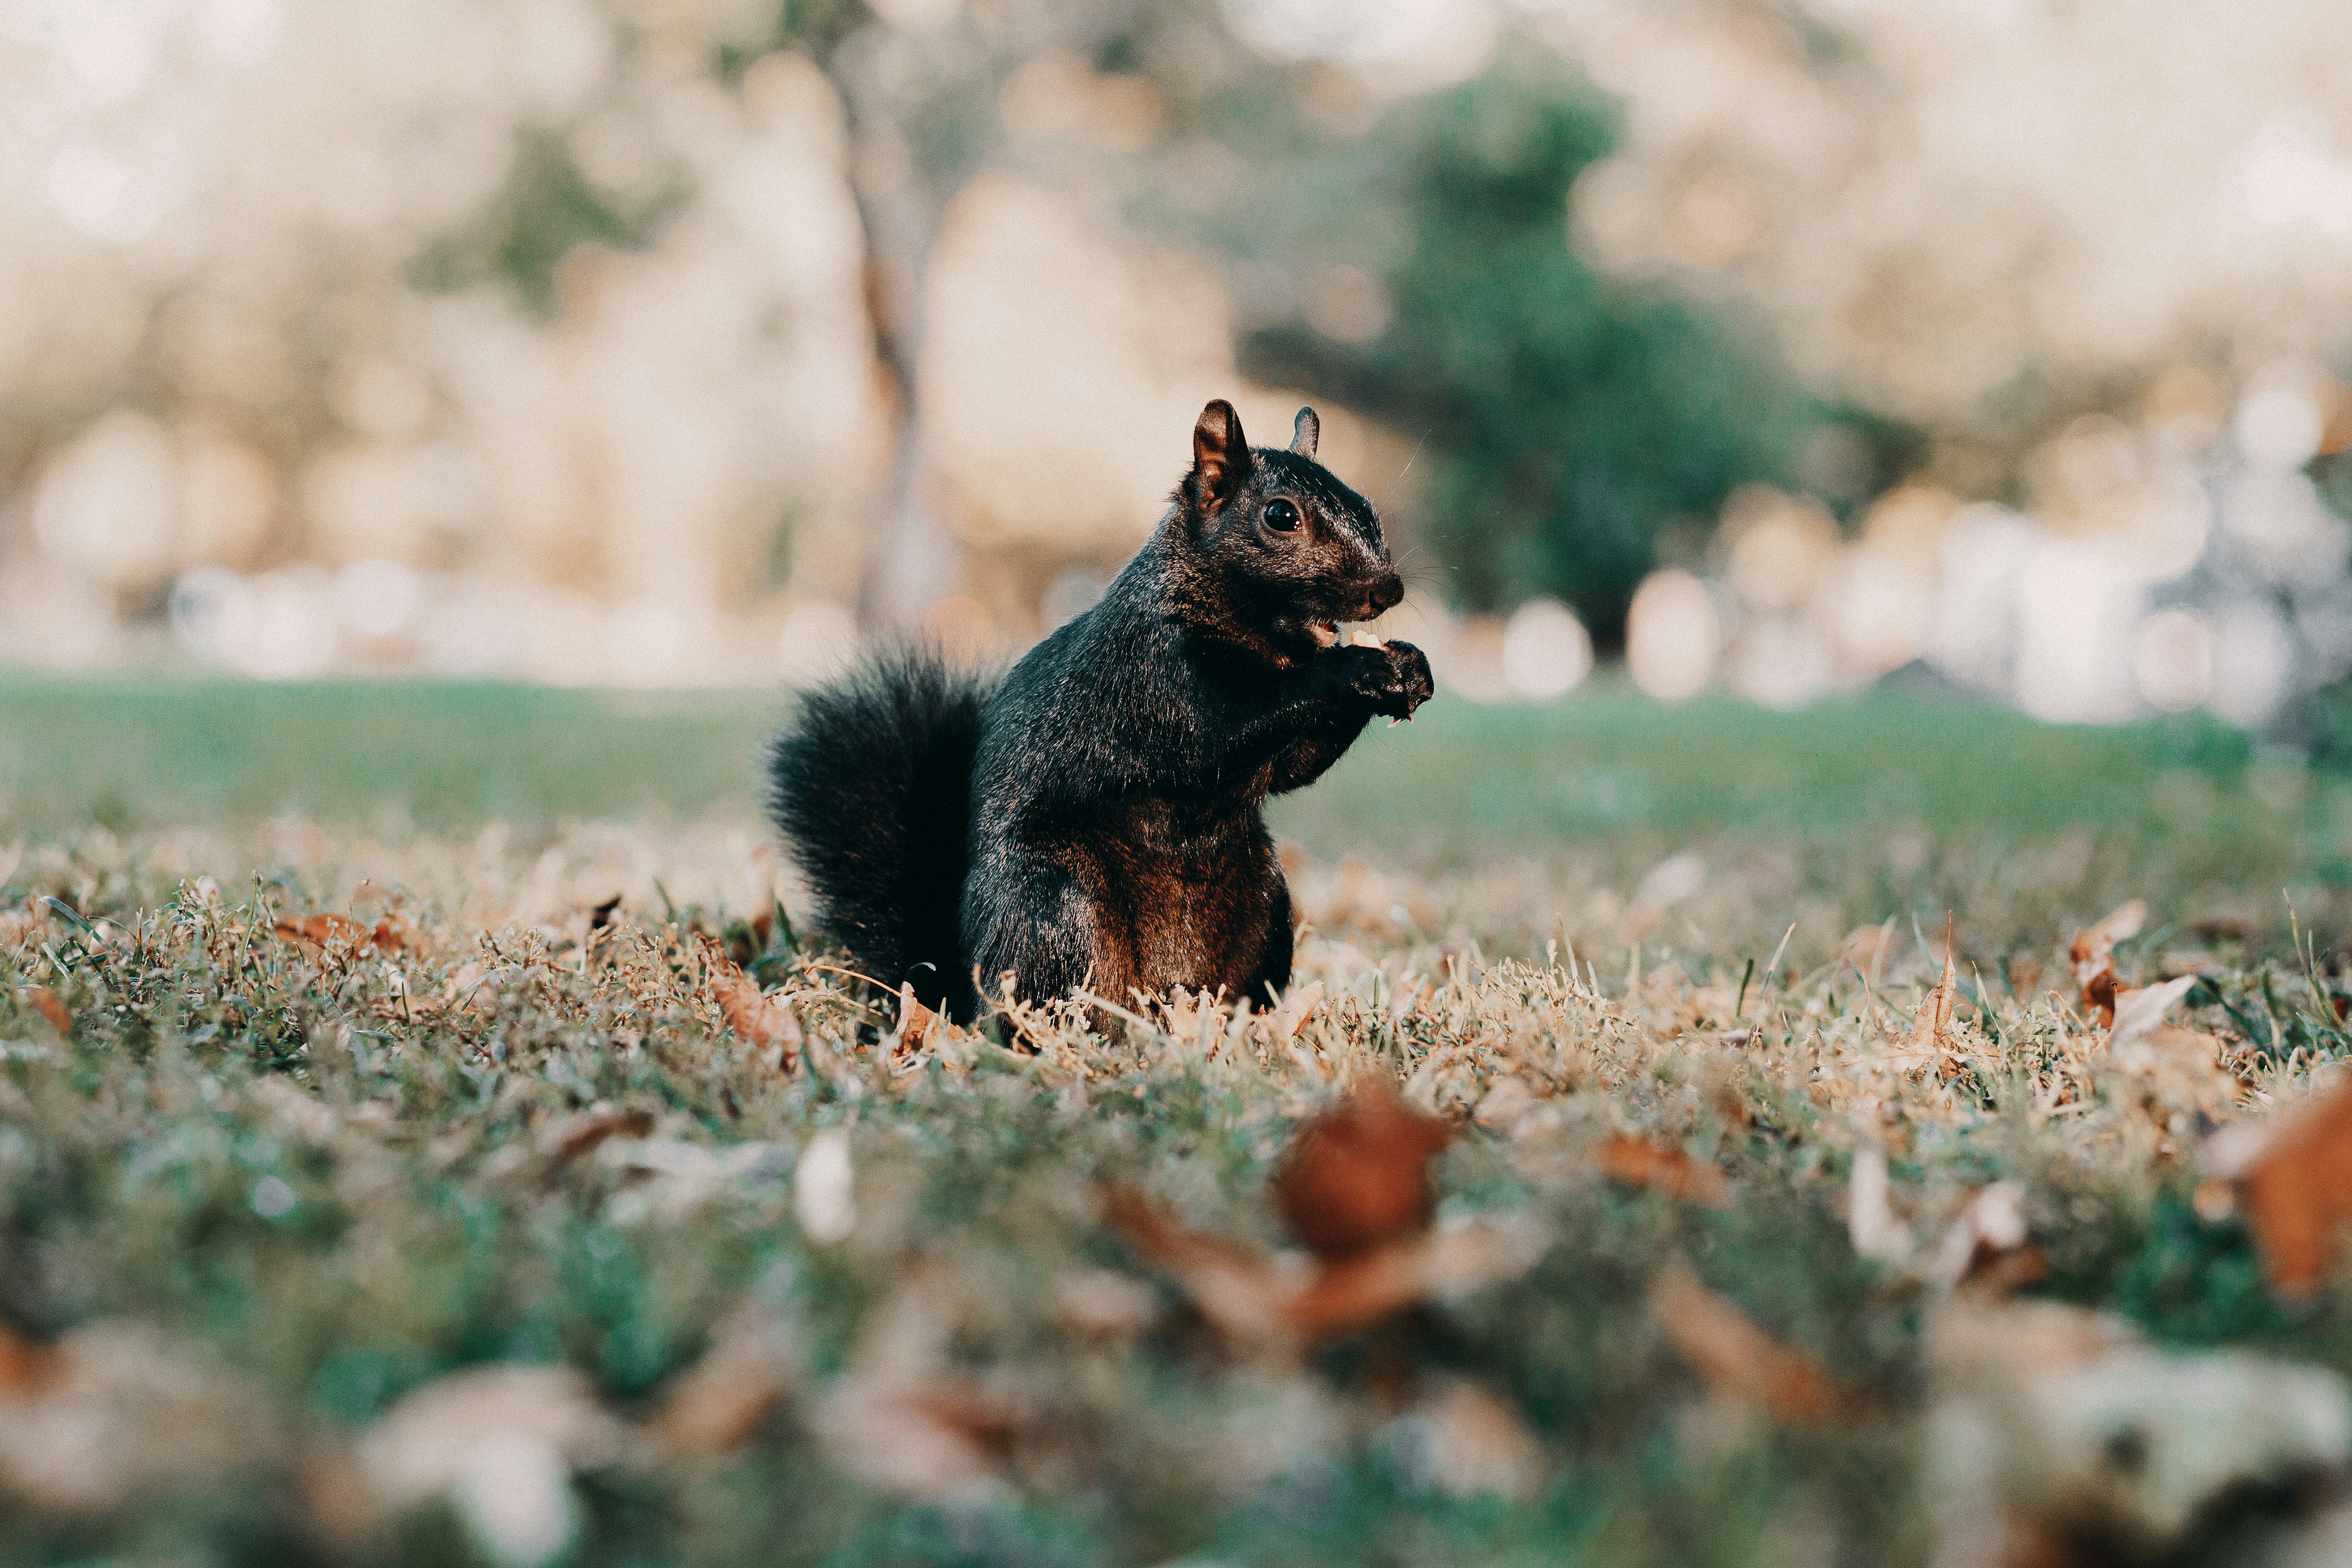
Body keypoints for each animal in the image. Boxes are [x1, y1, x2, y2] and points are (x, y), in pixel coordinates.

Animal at [771, 399, 1430, 1025]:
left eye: (1366, 506)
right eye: (1281, 516)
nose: (1389, 590)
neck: (1252, 634)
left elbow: (1293, 767)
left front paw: (1410, 668)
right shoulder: (1150, 676)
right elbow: (1218, 734)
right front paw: (1360, 667)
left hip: (1265, 900)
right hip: (1059, 900)